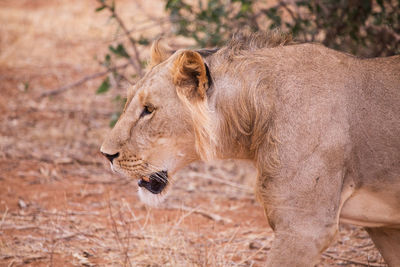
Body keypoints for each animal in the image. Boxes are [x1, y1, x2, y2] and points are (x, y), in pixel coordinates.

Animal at [101, 30, 400, 266]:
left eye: (148, 110)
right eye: (129, 102)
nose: (106, 155)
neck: (255, 114)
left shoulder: (306, 229)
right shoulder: (385, 228)